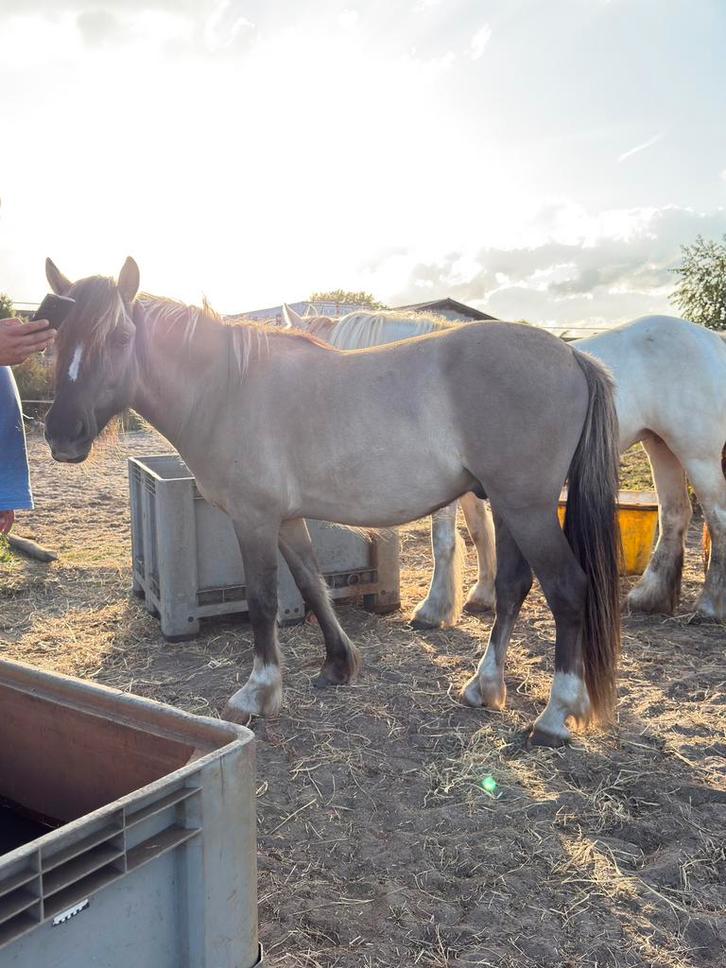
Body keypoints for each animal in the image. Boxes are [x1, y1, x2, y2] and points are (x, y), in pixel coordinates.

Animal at [43, 257, 622, 746]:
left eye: (120, 337)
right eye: (56, 337)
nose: (62, 435)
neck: (227, 388)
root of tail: (572, 353)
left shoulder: (253, 519)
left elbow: (262, 601)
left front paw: (258, 691)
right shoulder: (286, 519)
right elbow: (311, 584)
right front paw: (339, 665)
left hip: (527, 508)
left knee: (567, 588)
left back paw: (555, 715)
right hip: (507, 506)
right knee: (511, 588)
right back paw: (484, 686)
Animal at [289, 306, 726, 627]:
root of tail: (710, 339)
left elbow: (443, 541)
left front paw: (433, 610)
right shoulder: (472, 487)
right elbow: (481, 533)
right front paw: (481, 597)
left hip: (697, 454)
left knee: (717, 518)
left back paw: (709, 605)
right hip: (661, 447)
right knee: (675, 515)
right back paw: (649, 597)